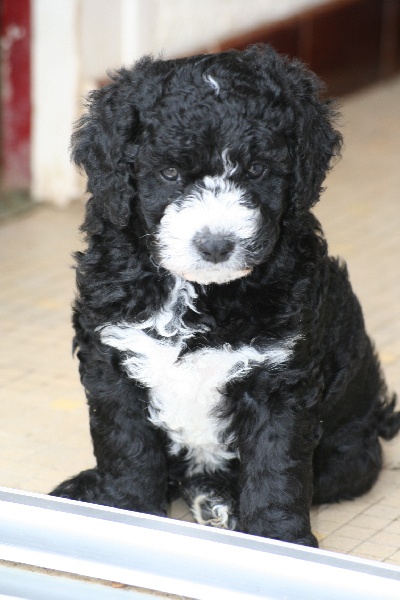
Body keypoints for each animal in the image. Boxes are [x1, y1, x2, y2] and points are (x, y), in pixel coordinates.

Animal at [51, 44, 399, 547]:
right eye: (169, 172)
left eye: (256, 170)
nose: (216, 245)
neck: (198, 293)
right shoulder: (111, 359)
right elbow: (126, 447)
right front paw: (125, 510)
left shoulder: (280, 378)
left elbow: (277, 466)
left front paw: (278, 538)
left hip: (353, 450)